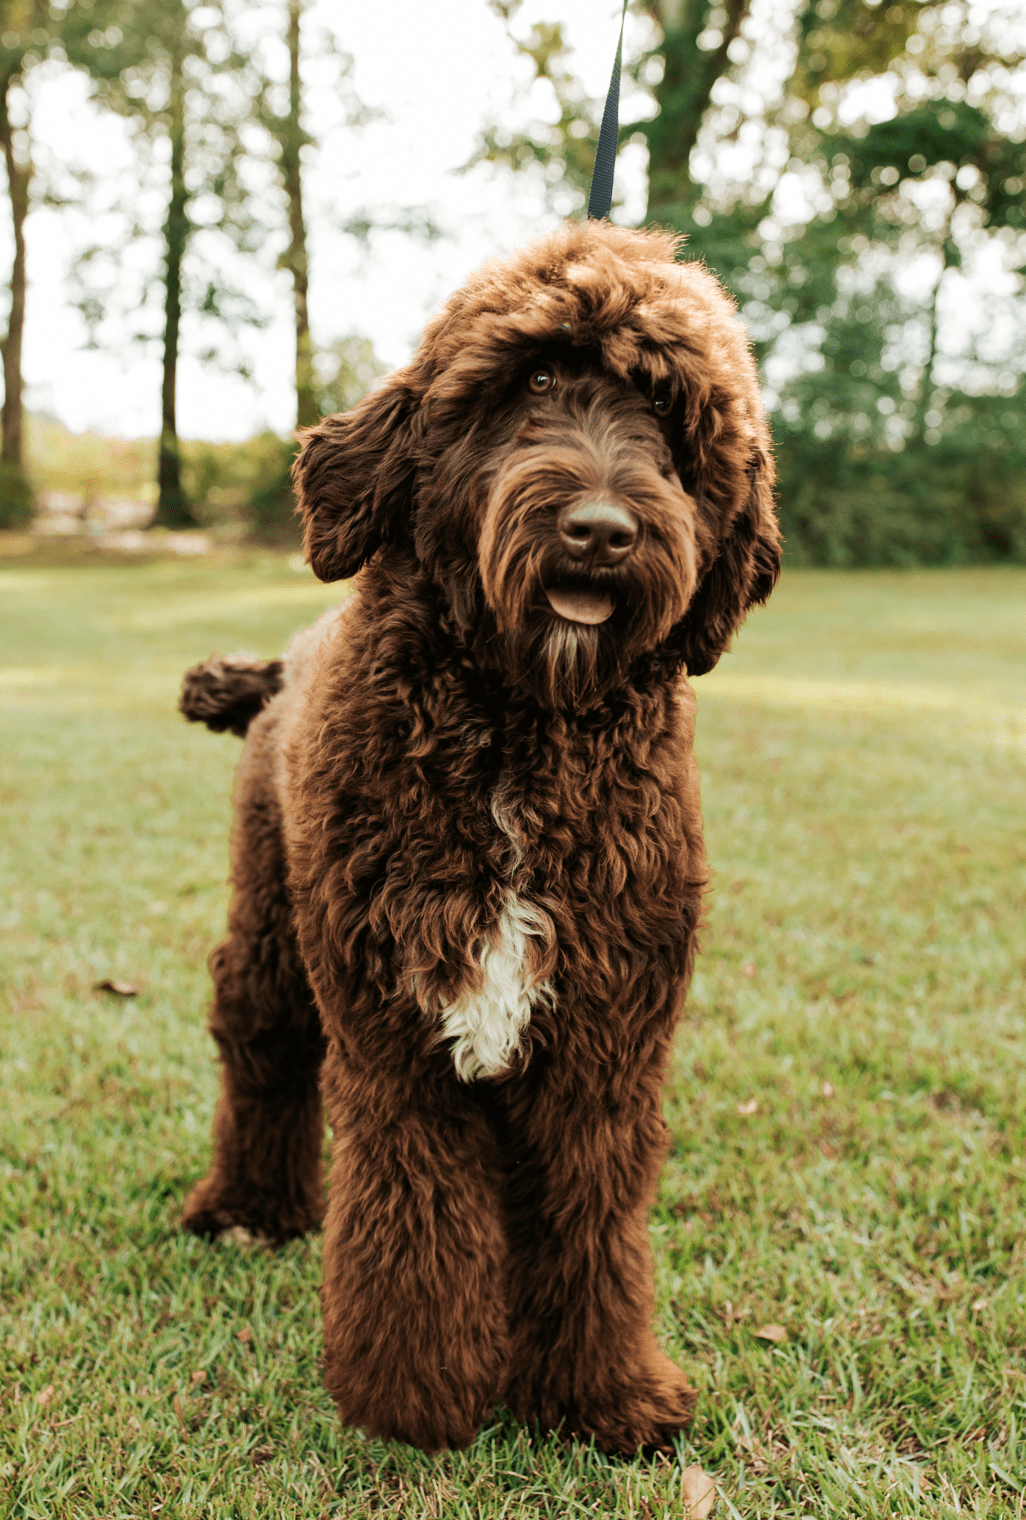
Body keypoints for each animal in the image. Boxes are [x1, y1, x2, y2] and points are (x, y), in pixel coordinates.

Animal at [180, 220, 784, 1453]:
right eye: (533, 384)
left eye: (671, 420)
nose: (599, 530)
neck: (519, 735)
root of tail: (281, 663)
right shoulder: (396, 1027)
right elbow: (416, 1213)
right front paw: (414, 1399)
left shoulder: (607, 1036)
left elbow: (589, 1216)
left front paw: (600, 1394)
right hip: (274, 921)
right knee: (259, 1044)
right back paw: (250, 1208)